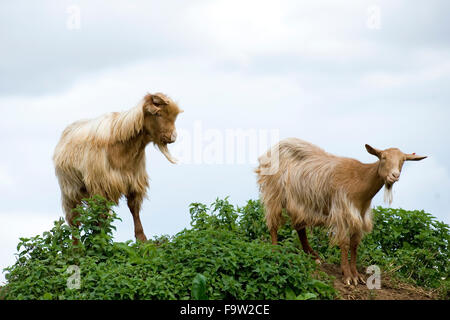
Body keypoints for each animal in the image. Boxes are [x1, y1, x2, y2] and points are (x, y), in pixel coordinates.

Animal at [53, 91, 184, 241]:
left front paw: (142, 239)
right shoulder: (102, 185)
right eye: (158, 114)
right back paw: (76, 246)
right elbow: (101, 213)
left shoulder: (133, 181)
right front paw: (101, 238)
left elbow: (134, 209)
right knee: (74, 218)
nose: (173, 137)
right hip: (70, 188)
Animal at [255, 138, 428, 284]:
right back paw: (275, 250)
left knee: (299, 226)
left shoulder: (360, 215)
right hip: (274, 192)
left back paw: (313, 256)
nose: (394, 175)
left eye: (403, 160)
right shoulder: (342, 211)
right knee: (273, 223)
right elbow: (344, 243)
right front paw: (348, 276)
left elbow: (354, 244)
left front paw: (356, 275)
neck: (360, 179)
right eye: (383, 157)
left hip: (299, 202)